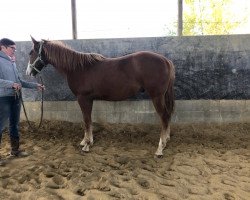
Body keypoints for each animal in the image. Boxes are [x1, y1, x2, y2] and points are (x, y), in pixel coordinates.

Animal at [25, 36, 174, 157]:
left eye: (31, 52)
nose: (28, 72)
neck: (78, 68)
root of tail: (165, 60)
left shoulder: (83, 98)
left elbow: (86, 120)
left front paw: (86, 145)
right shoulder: (88, 99)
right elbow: (88, 120)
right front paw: (86, 141)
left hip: (157, 96)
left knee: (164, 116)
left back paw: (160, 148)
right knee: (167, 116)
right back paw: (166, 140)